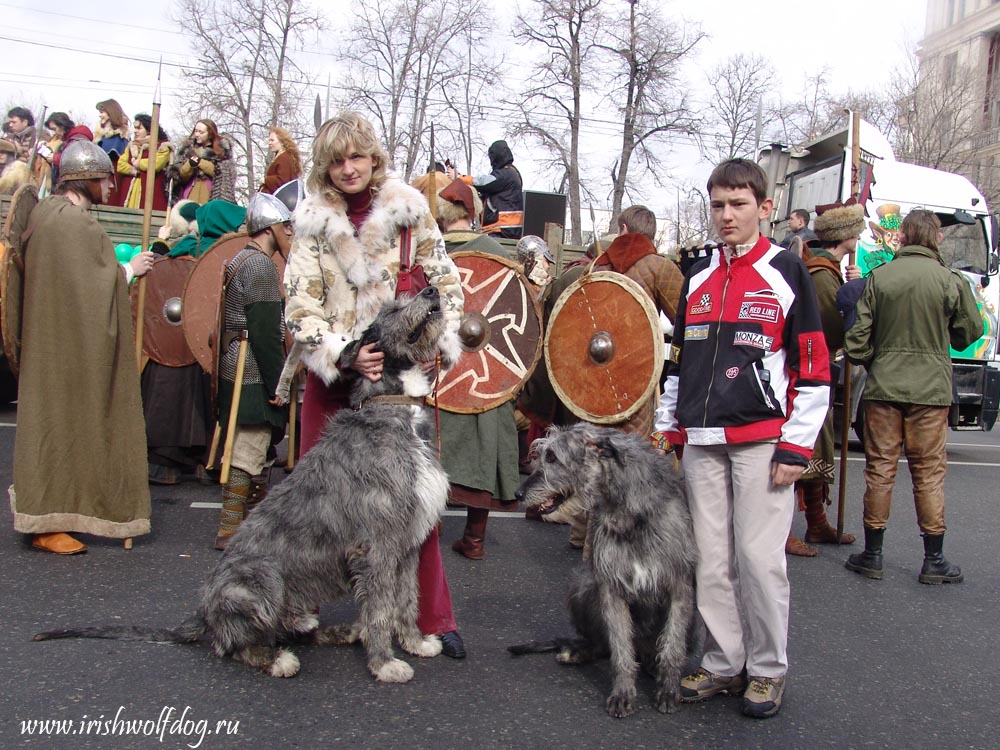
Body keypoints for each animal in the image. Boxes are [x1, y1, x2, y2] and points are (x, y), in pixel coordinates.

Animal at [34, 288, 460, 688]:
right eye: (392, 308)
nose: (431, 291)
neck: (395, 405)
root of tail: (204, 611)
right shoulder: (376, 546)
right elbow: (380, 609)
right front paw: (385, 663)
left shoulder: (406, 544)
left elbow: (407, 598)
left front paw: (415, 642)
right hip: (258, 580)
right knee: (235, 644)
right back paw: (277, 659)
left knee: (291, 629)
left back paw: (335, 631)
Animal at [508, 426, 696, 720]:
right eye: (541, 453)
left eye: (553, 456)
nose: (518, 494)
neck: (628, 509)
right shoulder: (611, 586)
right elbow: (620, 650)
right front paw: (622, 694)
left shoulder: (679, 585)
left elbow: (672, 646)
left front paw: (668, 691)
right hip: (582, 584)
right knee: (603, 646)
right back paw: (576, 652)